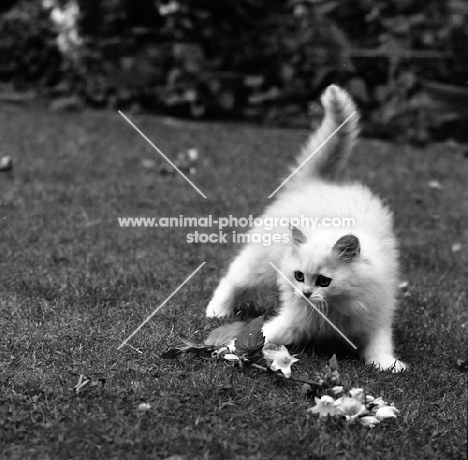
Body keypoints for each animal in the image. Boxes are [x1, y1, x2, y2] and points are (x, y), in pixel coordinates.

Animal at [205, 84, 406, 372]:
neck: (332, 310)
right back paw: (216, 311)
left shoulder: (375, 316)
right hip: (259, 264)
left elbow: (380, 344)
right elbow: (262, 333)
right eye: (299, 276)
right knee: (231, 279)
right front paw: (230, 351)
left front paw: (388, 364)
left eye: (324, 281)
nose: (307, 293)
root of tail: (317, 183)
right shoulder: (292, 319)